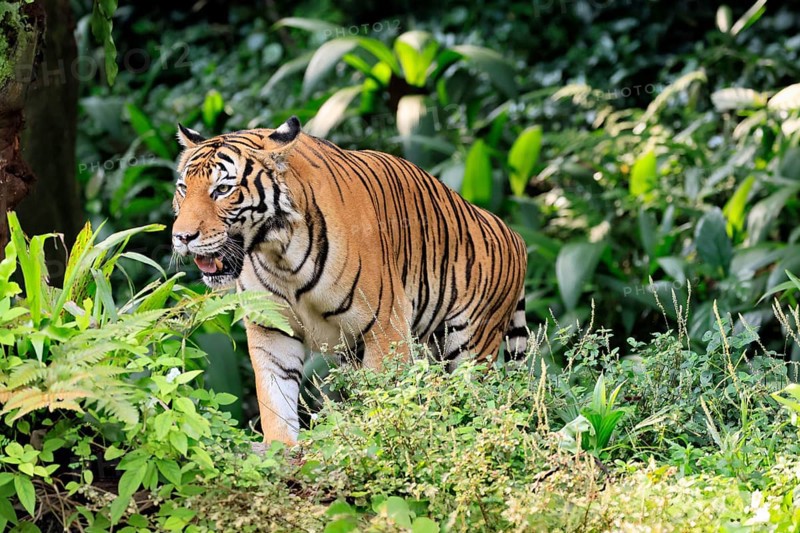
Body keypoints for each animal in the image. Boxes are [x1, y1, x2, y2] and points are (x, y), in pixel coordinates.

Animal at [171, 116, 529, 445]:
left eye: (222, 190)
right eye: (184, 189)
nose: (182, 237)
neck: (278, 253)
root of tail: (515, 235)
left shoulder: (386, 328)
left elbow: (383, 402)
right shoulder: (271, 330)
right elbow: (275, 401)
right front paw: (281, 453)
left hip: (470, 349)